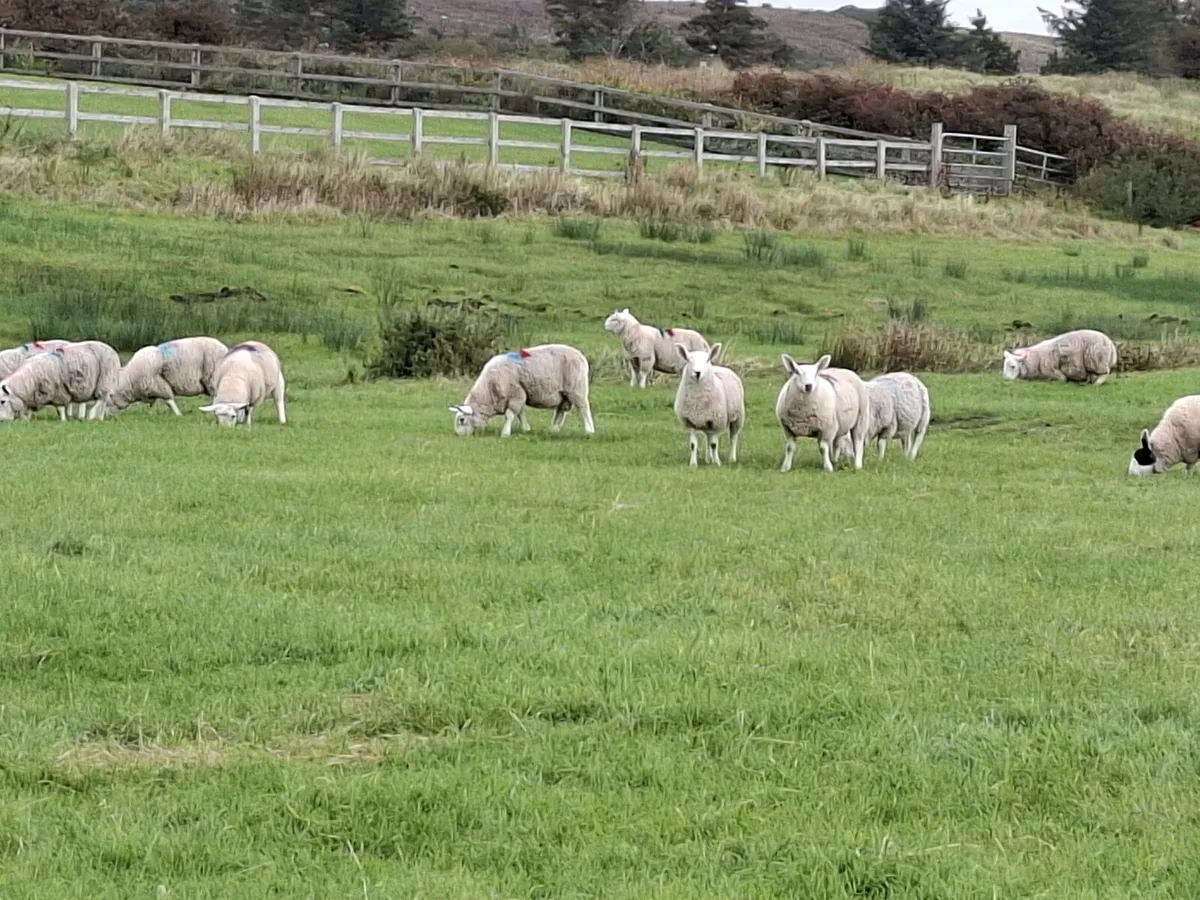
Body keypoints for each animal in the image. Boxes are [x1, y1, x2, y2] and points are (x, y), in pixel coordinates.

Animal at [449, 344, 594, 437]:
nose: (458, 435)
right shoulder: (519, 396)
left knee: (583, 408)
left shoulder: (516, 393)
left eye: (461, 420)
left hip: (576, 388)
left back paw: (589, 430)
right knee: (560, 410)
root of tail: (581, 357)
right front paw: (526, 429)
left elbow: (510, 415)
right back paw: (553, 430)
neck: (489, 390)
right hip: (563, 393)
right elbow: (520, 413)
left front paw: (505, 433)